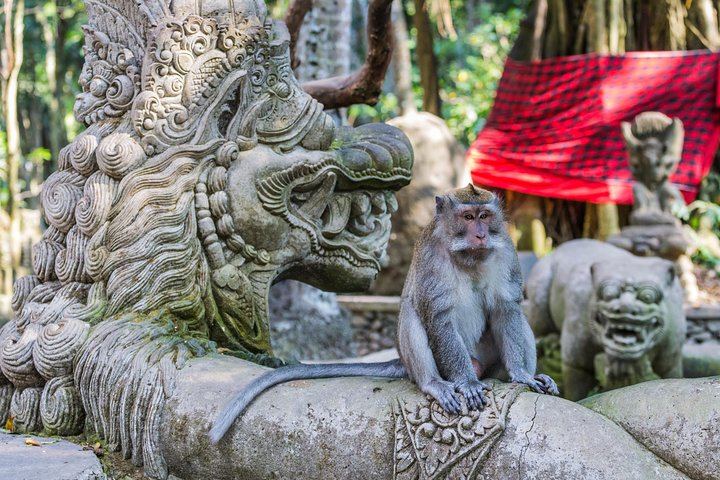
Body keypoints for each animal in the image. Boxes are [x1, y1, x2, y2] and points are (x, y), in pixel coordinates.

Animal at [208, 184, 557, 444]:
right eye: (468, 216)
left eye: (485, 215)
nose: (482, 234)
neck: (468, 257)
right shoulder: (431, 256)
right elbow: (438, 316)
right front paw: (467, 383)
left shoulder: (506, 251)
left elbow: (506, 310)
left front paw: (521, 375)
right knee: (412, 315)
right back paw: (435, 383)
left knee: (518, 320)